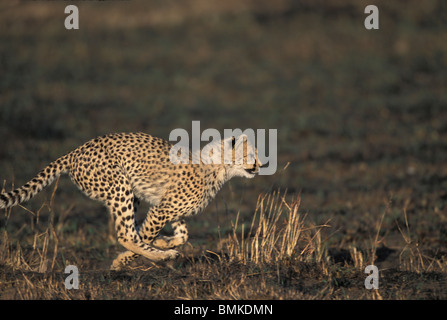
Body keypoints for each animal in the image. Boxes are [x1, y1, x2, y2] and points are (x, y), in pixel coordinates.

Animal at [0, 132, 262, 270]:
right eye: (250, 155)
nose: (261, 165)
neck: (217, 167)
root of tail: (75, 151)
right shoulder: (162, 209)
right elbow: (144, 234)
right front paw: (122, 260)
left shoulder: (169, 208)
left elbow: (183, 235)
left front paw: (165, 241)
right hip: (120, 187)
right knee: (126, 233)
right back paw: (160, 256)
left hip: (130, 193)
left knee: (130, 228)